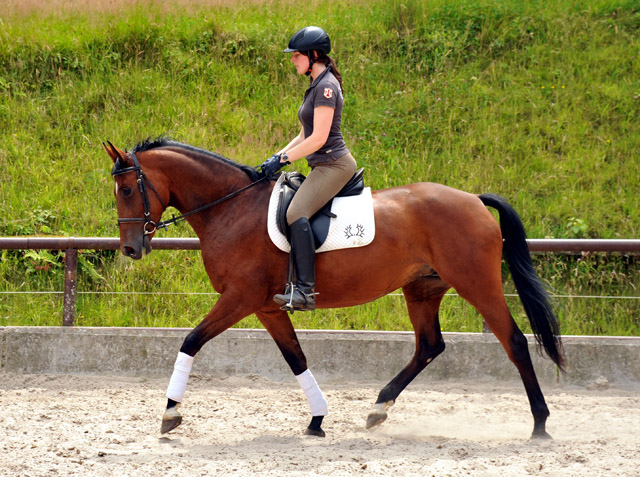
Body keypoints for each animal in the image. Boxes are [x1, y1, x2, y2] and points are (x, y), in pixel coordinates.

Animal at [105, 137, 564, 438]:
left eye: (127, 189)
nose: (130, 248)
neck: (231, 208)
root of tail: (472, 199)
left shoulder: (239, 298)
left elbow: (190, 342)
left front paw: (169, 414)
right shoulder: (267, 307)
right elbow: (296, 358)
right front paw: (317, 419)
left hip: (476, 283)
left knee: (514, 341)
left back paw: (540, 425)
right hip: (422, 289)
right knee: (429, 346)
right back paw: (378, 409)